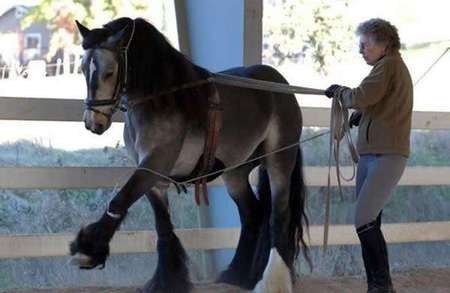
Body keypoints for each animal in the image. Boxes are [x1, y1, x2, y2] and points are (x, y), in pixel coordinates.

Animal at [70, 17, 310, 292]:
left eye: (109, 72)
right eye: (82, 69)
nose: (93, 123)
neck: (162, 99)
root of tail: (281, 84)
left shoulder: (154, 164)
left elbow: (119, 200)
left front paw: (87, 251)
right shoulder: (152, 177)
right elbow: (163, 225)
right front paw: (167, 279)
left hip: (279, 160)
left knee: (278, 218)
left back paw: (271, 280)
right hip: (236, 173)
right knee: (252, 214)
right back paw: (238, 275)